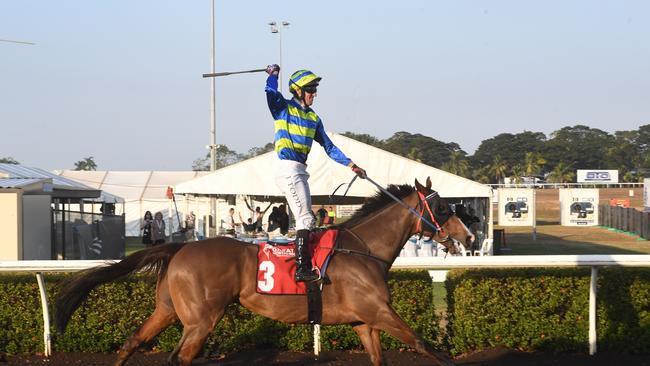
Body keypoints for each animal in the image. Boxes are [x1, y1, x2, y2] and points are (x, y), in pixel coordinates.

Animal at [55, 178, 470, 366]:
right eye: (444, 208)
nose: (467, 235)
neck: (364, 249)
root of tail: (181, 246)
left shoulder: (363, 322)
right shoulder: (378, 312)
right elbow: (424, 344)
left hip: (170, 310)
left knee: (133, 342)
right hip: (201, 319)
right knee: (180, 358)